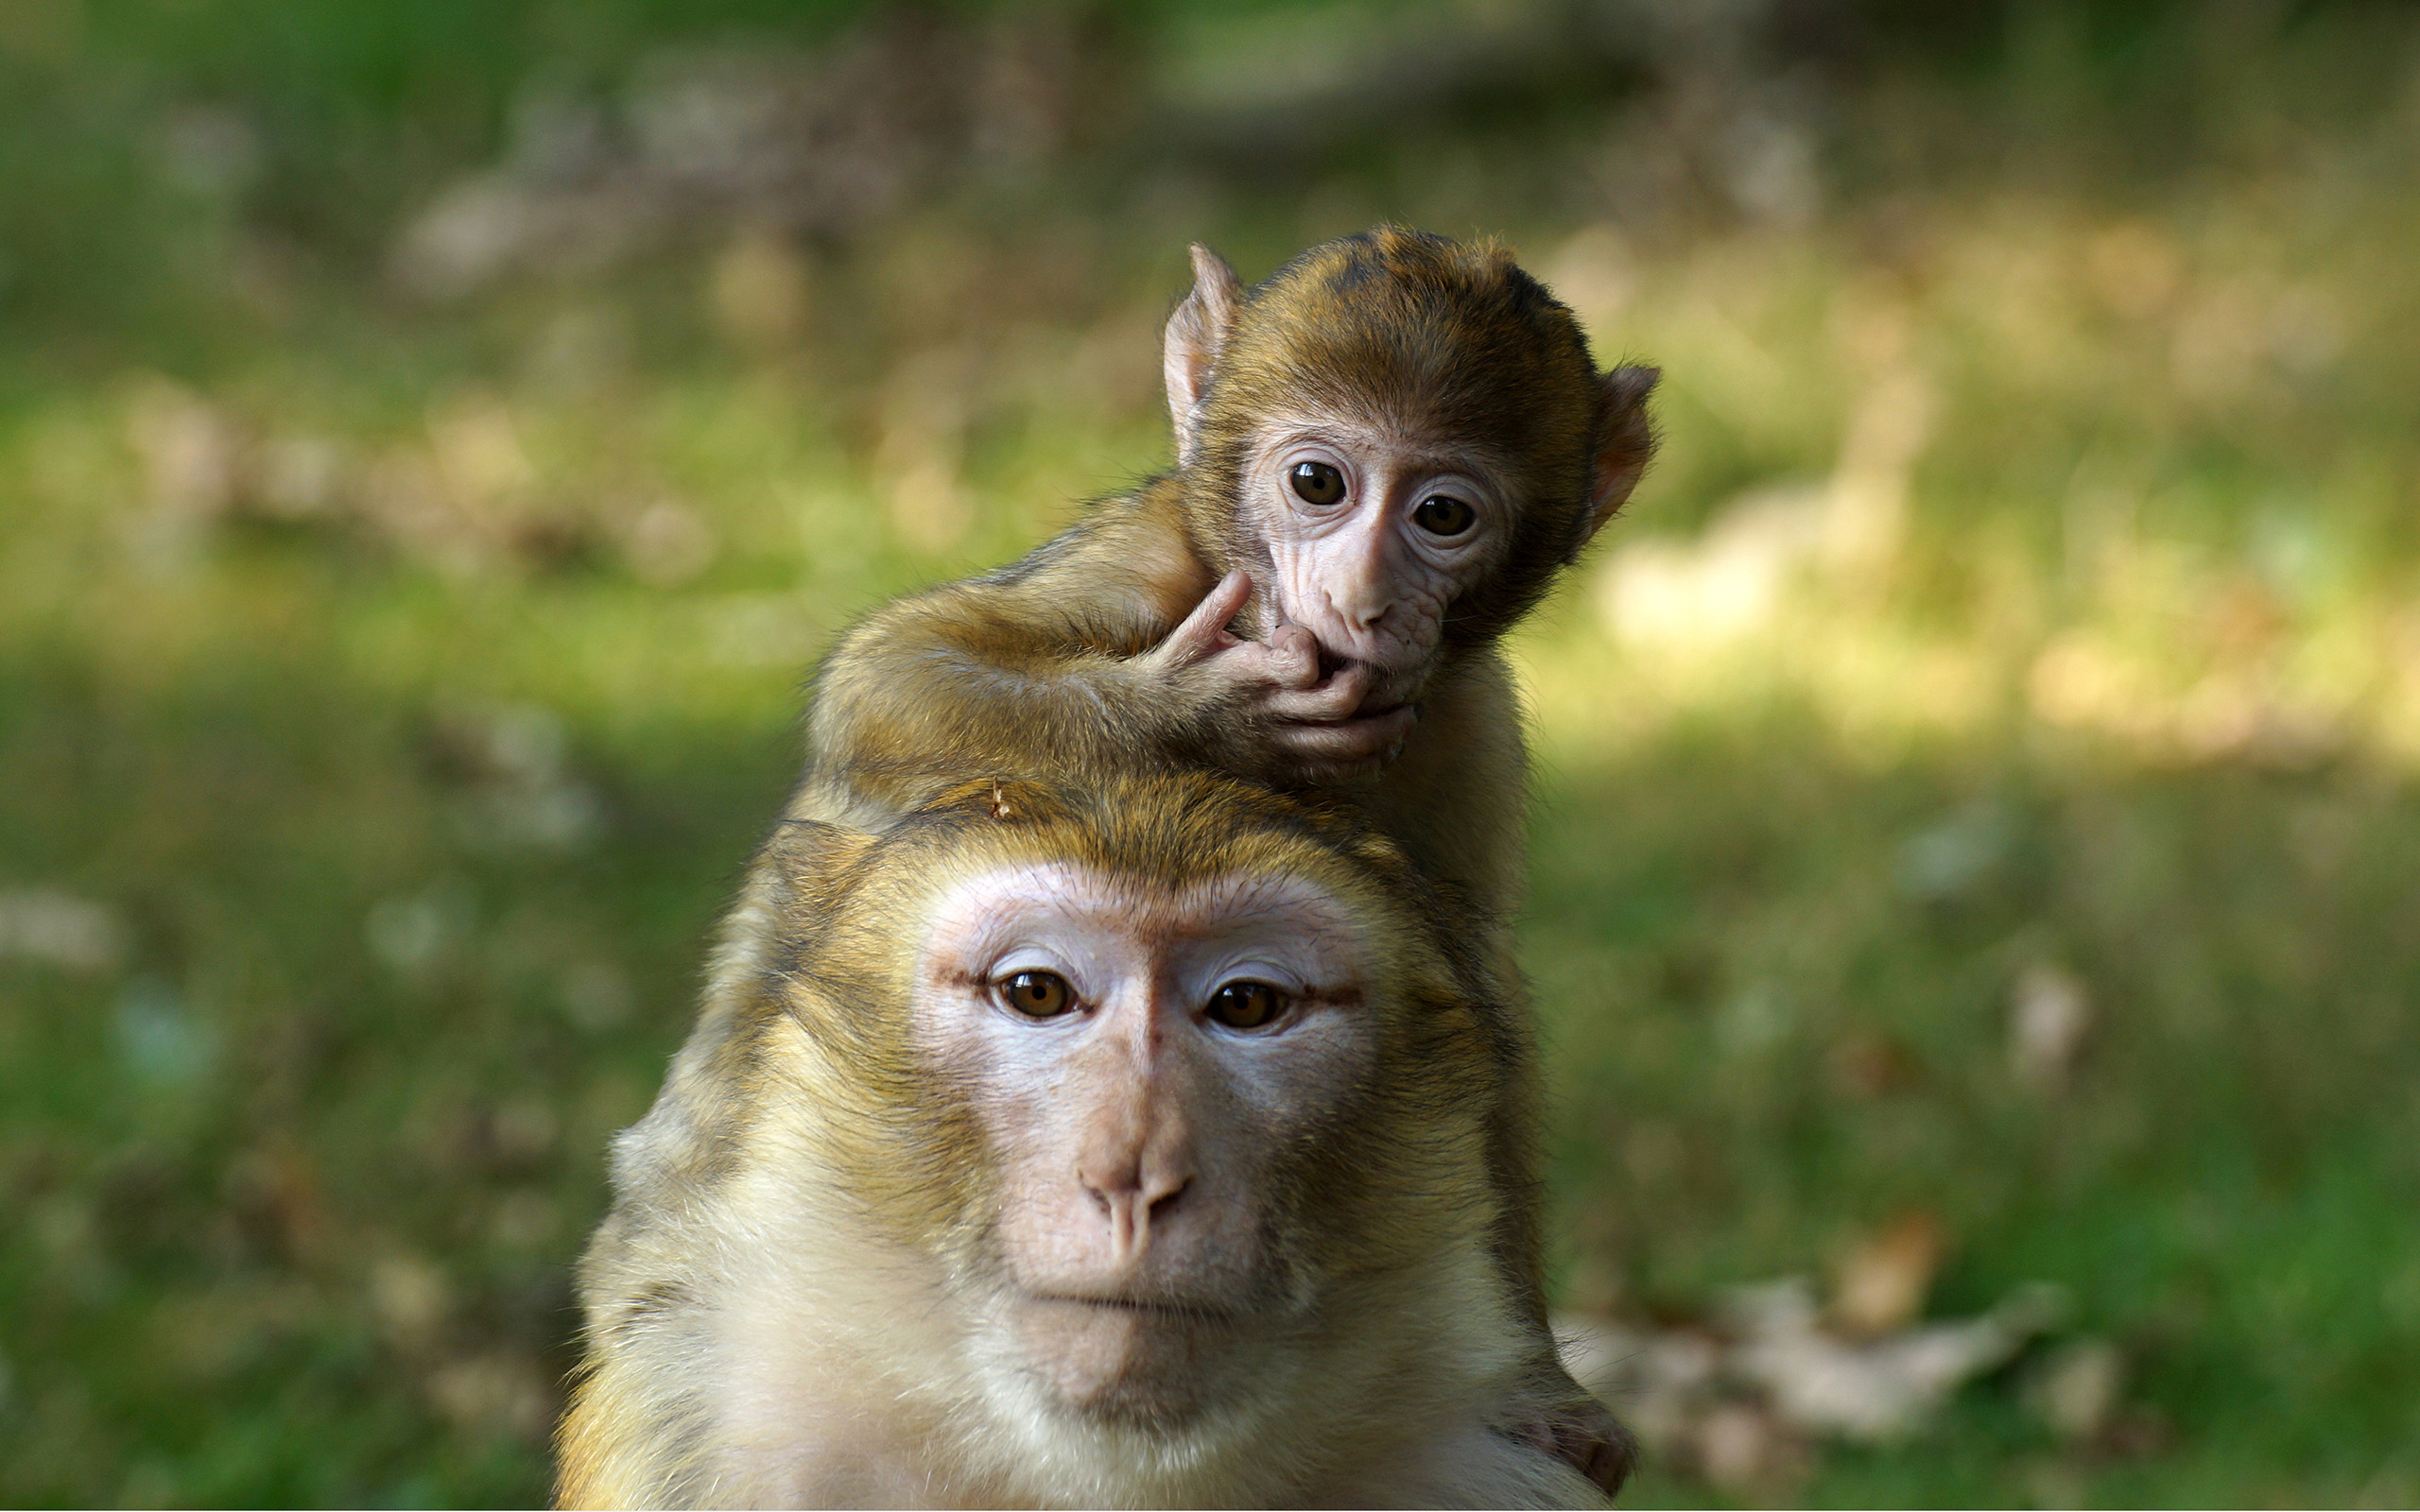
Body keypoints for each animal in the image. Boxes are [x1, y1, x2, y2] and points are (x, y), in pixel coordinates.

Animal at [784, 226, 1657, 1490]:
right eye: (1317, 486)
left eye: (1443, 513)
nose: (1363, 597)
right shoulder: (1150, 558)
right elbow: (891, 677)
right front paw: (1212, 718)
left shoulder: (1469, 713)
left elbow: (1472, 996)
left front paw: (1538, 1382)